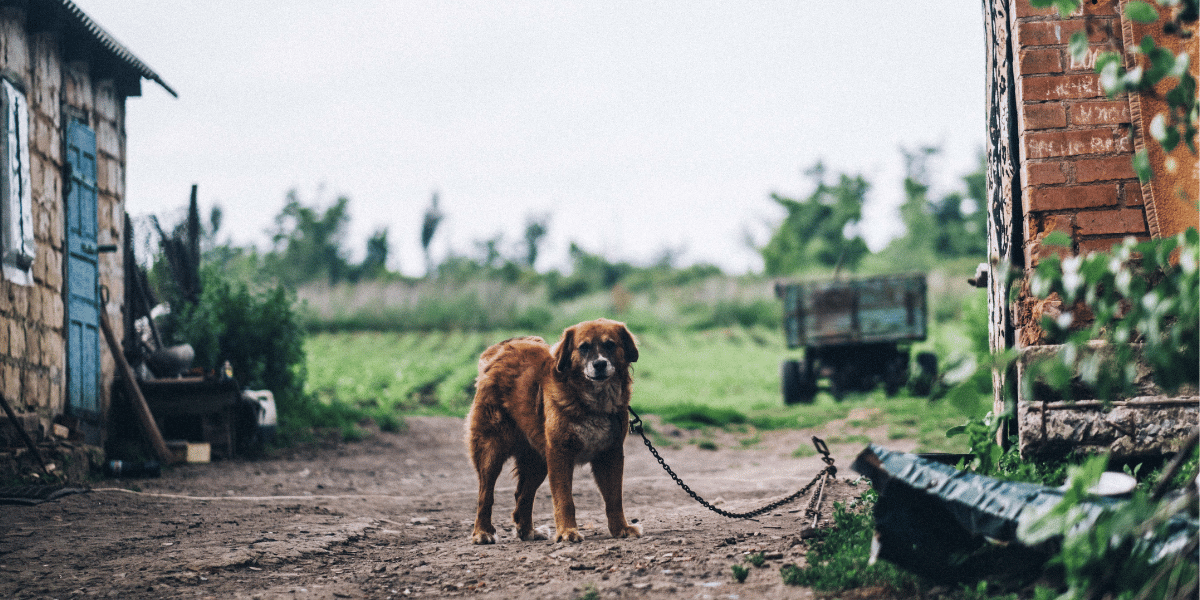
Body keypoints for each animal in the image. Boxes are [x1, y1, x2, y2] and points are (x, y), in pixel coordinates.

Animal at [463, 319, 643, 544]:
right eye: (584, 347)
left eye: (610, 345)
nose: (599, 364)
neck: (593, 401)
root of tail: (500, 349)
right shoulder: (560, 453)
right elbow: (565, 499)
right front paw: (567, 531)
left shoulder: (611, 454)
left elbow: (614, 498)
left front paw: (621, 529)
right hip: (491, 450)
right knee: (485, 496)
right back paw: (482, 532)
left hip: (538, 460)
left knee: (522, 496)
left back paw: (528, 532)